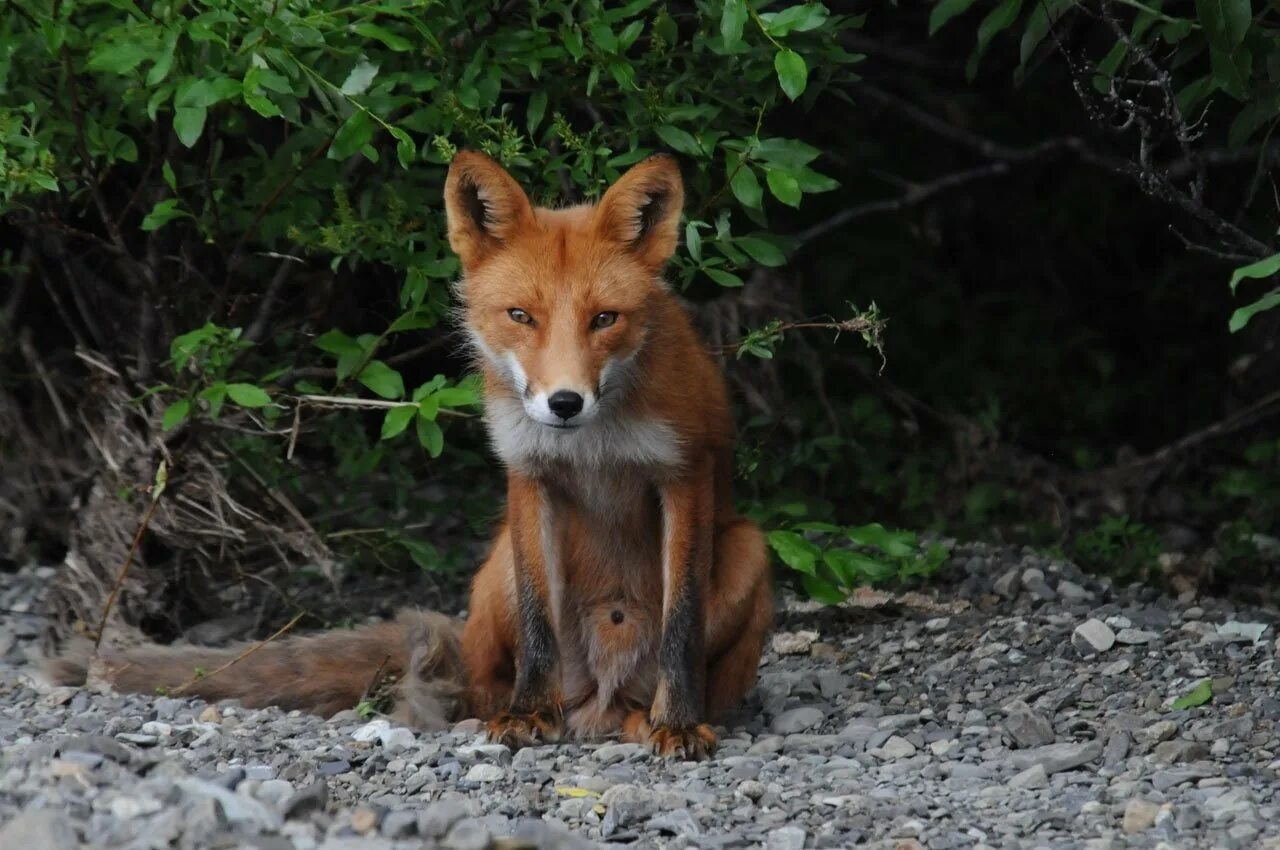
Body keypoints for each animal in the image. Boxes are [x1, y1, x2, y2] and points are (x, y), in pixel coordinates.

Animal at [47, 152, 768, 762]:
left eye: (605, 319)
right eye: (520, 316)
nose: (564, 403)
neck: (594, 444)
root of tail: (600, 703)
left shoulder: (684, 474)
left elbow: (681, 623)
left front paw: (679, 723)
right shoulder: (528, 477)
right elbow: (539, 625)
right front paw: (526, 716)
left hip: (749, 548)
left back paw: (651, 717)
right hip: (500, 566)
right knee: (486, 683)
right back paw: (527, 709)